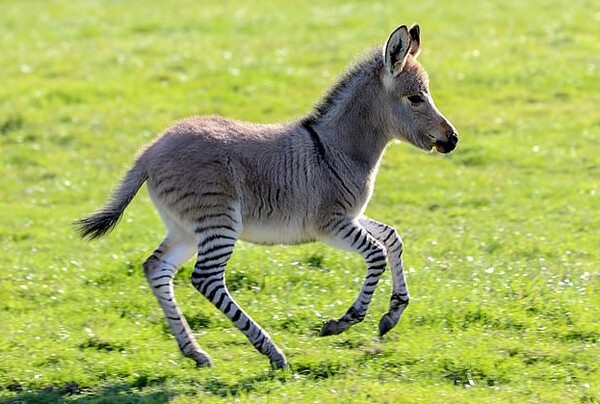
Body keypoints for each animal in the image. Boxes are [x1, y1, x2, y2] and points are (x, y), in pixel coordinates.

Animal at [76, 25, 460, 370]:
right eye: (416, 98)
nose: (453, 139)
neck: (337, 149)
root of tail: (150, 150)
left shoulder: (350, 217)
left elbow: (392, 238)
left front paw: (393, 313)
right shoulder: (332, 225)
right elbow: (377, 254)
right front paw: (344, 321)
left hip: (184, 228)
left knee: (157, 268)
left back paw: (195, 352)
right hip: (219, 223)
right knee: (206, 279)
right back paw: (271, 352)